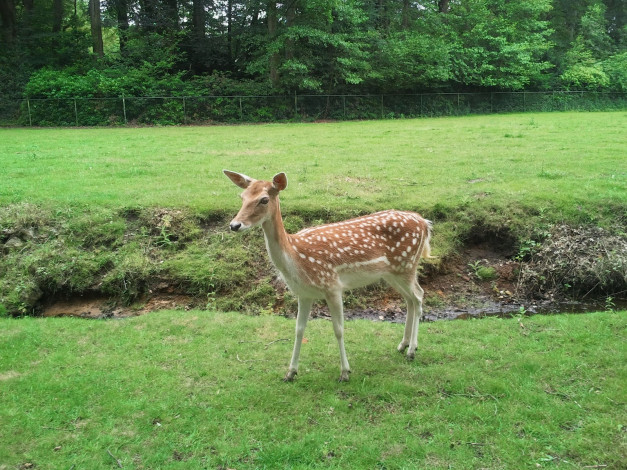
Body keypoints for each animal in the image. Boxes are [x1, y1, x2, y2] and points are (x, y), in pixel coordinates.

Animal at [223, 170, 434, 382]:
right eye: (242, 196)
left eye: (264, 199)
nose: (234, 225)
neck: (296, 259)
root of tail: (424, 223)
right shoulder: (303, 293)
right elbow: (299, 329)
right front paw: (290, 372)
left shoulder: (332, 285)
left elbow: (338, 329)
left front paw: (345, 372)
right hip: (393, 273)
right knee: (409, 299)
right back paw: (403, 345)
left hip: (406, 265)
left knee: (419, 295)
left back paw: (412, 350)